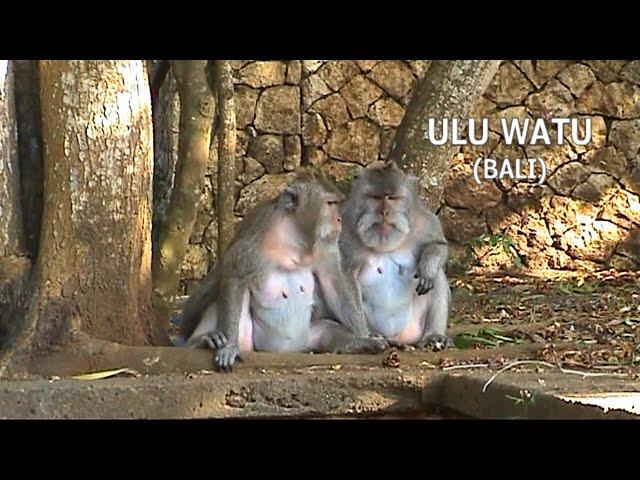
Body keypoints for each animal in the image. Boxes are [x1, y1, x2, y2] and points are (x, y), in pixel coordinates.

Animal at [172, 169, 390, 372]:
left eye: (336, 203)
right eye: (330, 204)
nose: (339, 220)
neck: (295, 235)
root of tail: (286, 351)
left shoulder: (324, 245)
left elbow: (334, 283)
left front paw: (365, 335)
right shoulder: (259, 233)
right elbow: (235, 274)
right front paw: (229, 346)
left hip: (308, 338)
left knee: (327, 329)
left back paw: (356, 344)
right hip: (251, 341)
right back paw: (199, 341)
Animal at [338, 159, 452, 350]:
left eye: (392, 198)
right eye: (375, 197)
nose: (384, 212)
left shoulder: (422, 220)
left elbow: (438, 244)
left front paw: (427, 268)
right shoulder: (344, 229)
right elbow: (344, 275)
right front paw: (363, 338)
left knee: (438, 275)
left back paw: (433, 335)